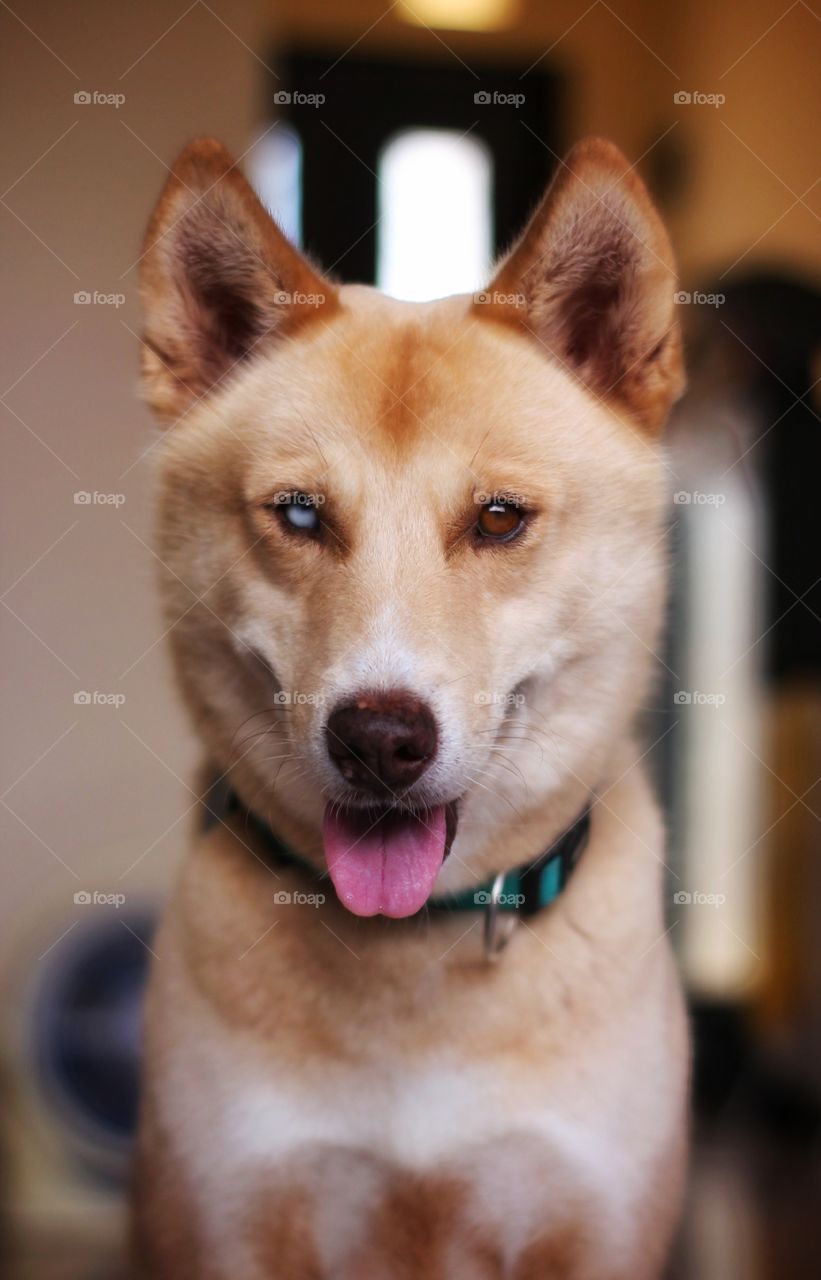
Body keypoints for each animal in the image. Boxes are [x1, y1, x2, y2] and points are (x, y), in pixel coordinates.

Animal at [134, 135, 691, 1274]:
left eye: (498, 518)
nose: (378, 738)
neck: (411, 958)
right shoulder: (232, 1218)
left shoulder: (592, 1224)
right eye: (300, 514)